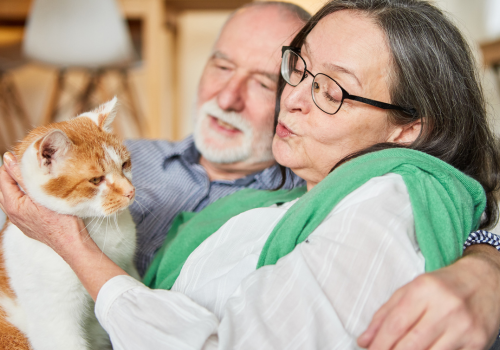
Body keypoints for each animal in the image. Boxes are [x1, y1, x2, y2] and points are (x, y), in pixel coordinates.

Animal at [0, 98, 139, 350]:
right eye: (95, 180)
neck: (97, 228)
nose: (130, 191)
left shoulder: (129, 267)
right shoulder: (56, 322)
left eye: (125, 165)